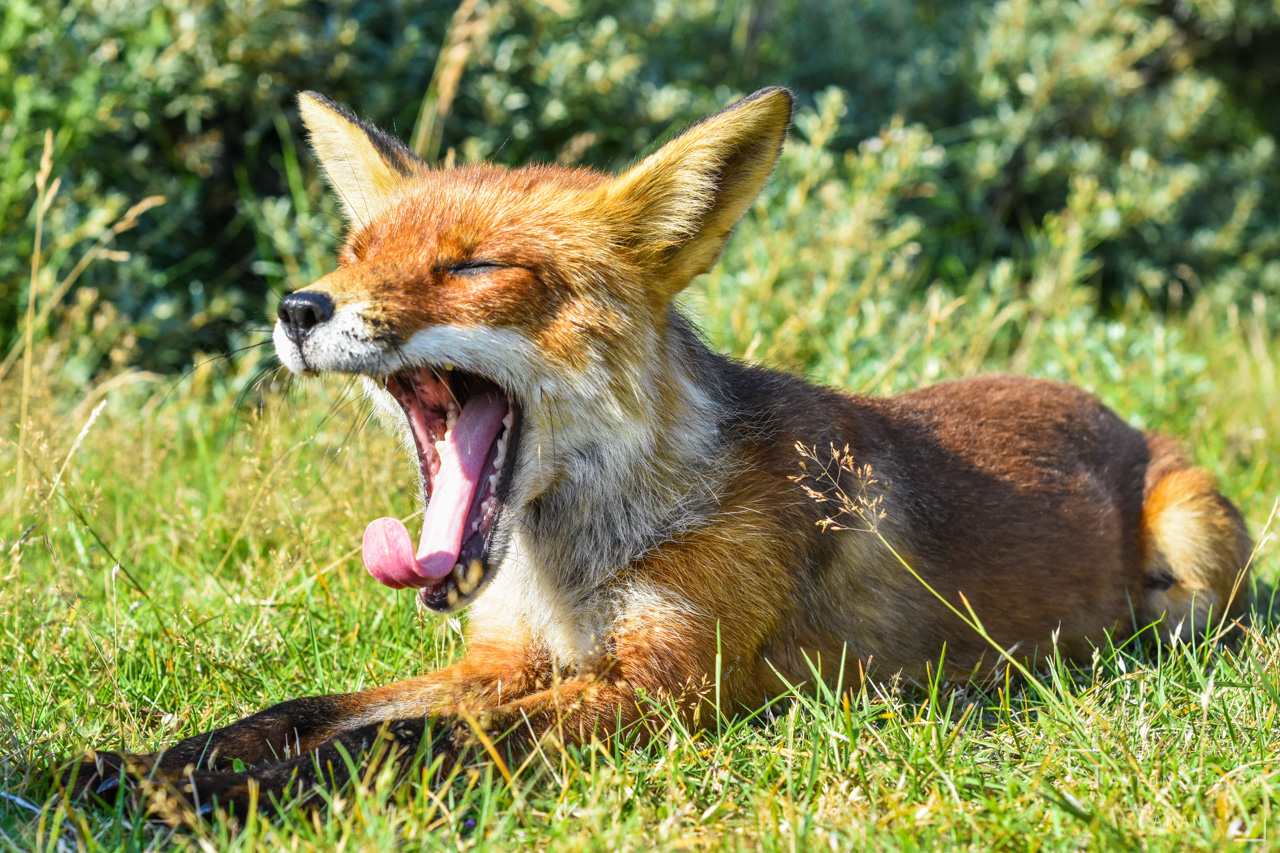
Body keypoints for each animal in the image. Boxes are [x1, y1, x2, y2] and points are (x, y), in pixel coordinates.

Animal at [66, 87, 1252, 815]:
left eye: (473, 267)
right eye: (356, 252)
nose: (298, 307)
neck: (565, 573)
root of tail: (1099, 403)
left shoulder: (664, 690)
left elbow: (393, 745)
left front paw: (221, 801)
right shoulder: (498, 663)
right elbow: (295, 715)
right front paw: (141, 766)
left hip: (1195, 555)